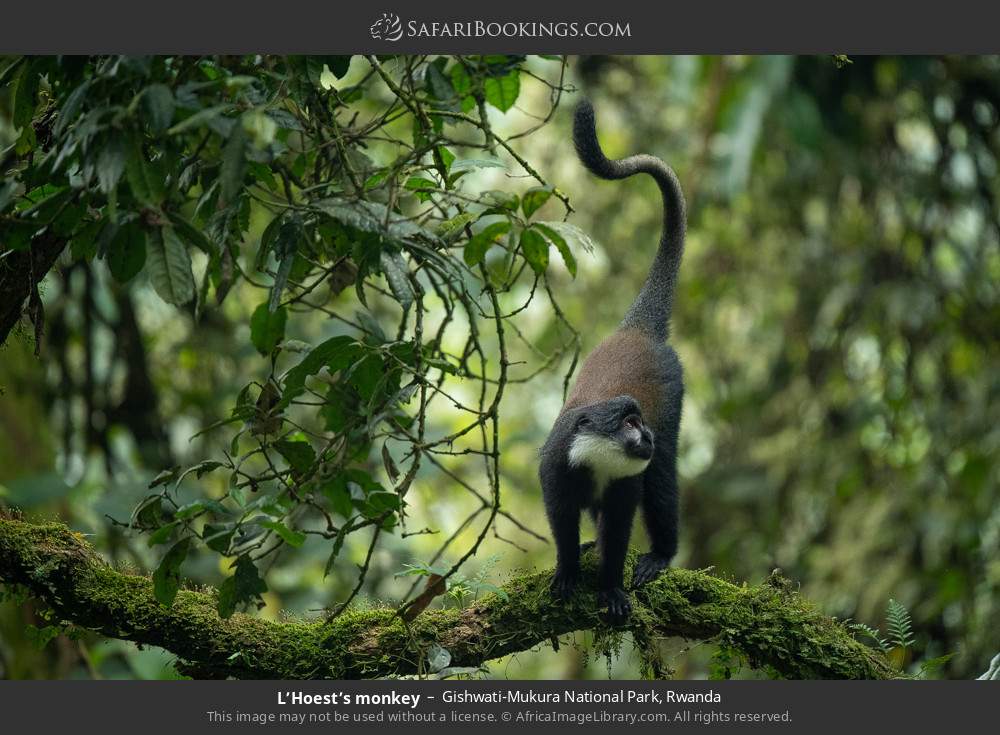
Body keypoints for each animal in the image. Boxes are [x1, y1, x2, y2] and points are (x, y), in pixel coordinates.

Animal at [539, 99, 686, 623]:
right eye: (627, 422)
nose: (646, 436)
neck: (597, 462)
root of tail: (635, 330)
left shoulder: (626, 486)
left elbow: (620, 531)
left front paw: (611, 587)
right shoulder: (556, 471)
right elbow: (561, 523)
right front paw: (567, 571)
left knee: (662, 473)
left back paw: (661, 554)